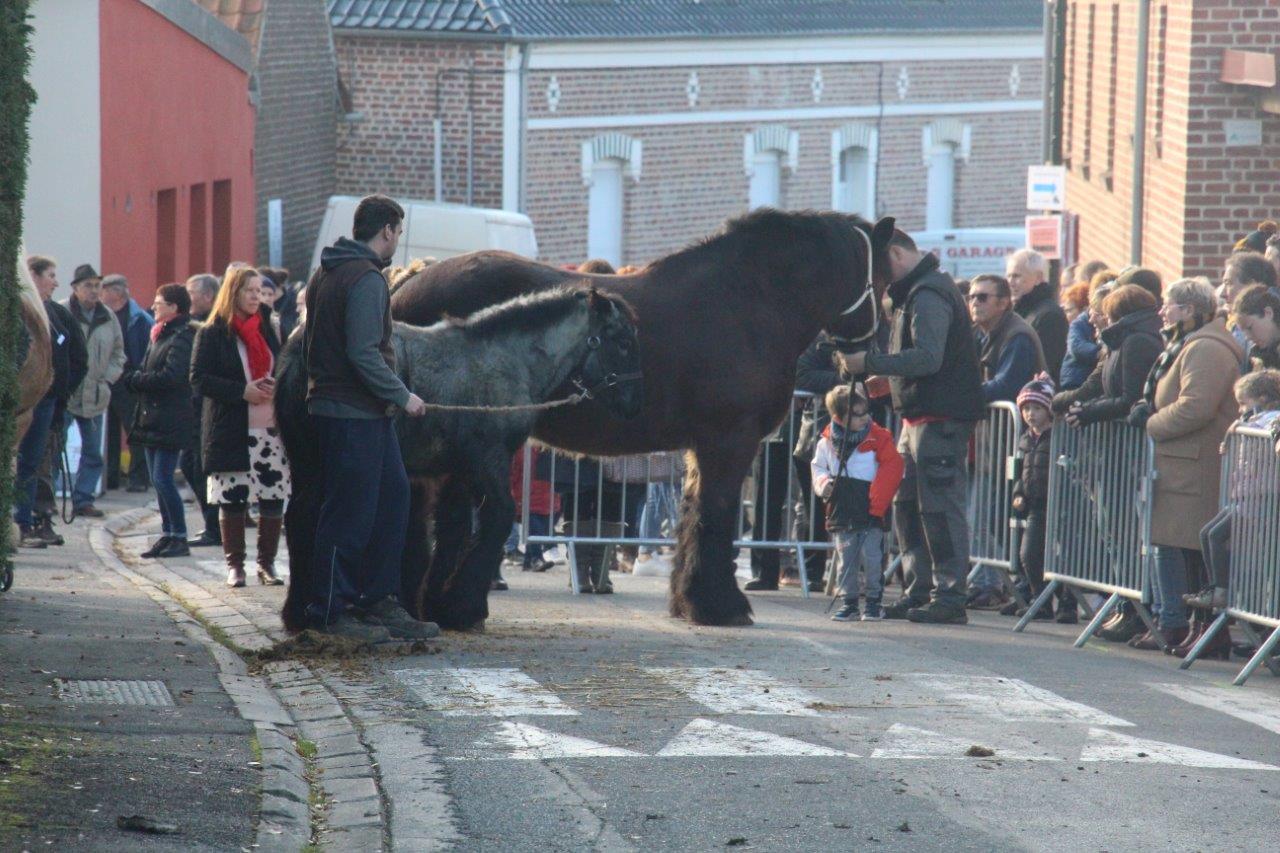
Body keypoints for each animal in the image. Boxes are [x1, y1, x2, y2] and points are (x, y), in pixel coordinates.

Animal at [394, 207, 896, 625]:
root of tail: (405, 283)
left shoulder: (702, 448)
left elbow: (692, 515)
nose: (864, 362)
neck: (751, 303)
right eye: (886, 282)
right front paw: (718, 605)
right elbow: (716, 518)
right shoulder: (730, 443)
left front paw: (689, 599)